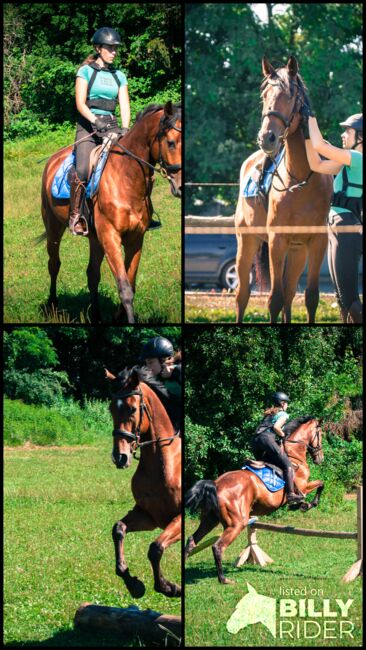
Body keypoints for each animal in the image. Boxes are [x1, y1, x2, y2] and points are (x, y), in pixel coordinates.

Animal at [40, 100, 182, 322]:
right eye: (171, 142)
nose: (181, 186)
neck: (127, 178)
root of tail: (53, 160)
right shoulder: (111, 236)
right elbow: (124, 288)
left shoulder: (135, 239)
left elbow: (130, 284)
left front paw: (118, 317)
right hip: (54, 227)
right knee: (54, 264)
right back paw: (53, 305)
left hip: (95, 238)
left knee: (92, 274)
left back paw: (96, 315)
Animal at [105, 364, 181, 596]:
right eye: (111, 409)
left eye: (132, 409)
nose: (120, 457)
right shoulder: (148, 516)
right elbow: (118, 529)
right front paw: (133, 583)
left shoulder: (177, 518)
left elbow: (155, 548)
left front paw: (168, 587)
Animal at [186, 418, 324, 584]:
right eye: (321, 434)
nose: (320, 458)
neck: (294, 454)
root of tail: (216, 485)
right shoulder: (303, 486)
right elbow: (321, 484)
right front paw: (306, 504)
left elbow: (320, 484)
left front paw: (302, 505)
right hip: (236, 523)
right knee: (218, 547)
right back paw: (224, 579)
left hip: (209, 519)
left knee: (192, 540)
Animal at [234, 55, 334, 322]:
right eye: (264, 95)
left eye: (290, 96)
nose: (266, 137)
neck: (299, 180)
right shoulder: (276, 241)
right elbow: (274, 300)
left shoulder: (316, 242)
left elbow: (310, 297)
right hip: (246, 242)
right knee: (242, 296)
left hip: (297, 251)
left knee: (289, 293)